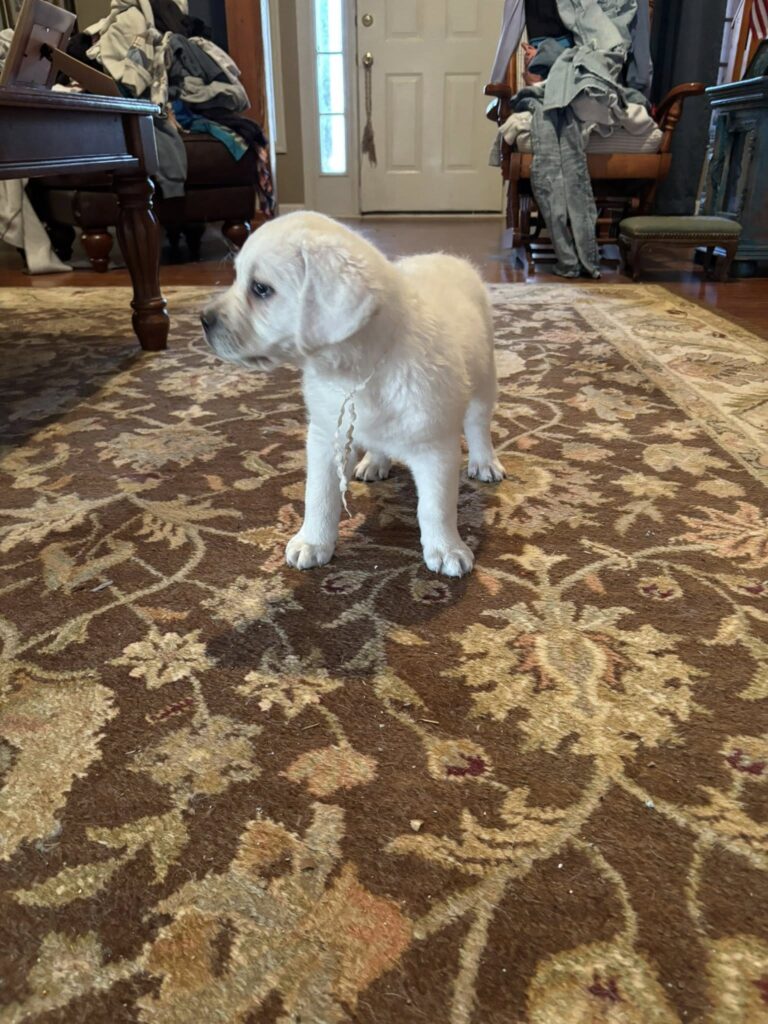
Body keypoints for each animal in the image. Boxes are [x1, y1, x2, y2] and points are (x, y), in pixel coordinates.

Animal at [201, 212, 504, 577]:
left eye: (261, 289)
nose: (203, 320)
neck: (358, 373)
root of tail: (445, 256)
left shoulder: (435, 447)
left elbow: (436, 506)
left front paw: (446, 549)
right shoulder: (324, 437)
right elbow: (319, 495)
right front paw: (312, 542)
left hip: (485, 378)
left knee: (478, 424)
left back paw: (484, 462)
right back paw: (374, 461)